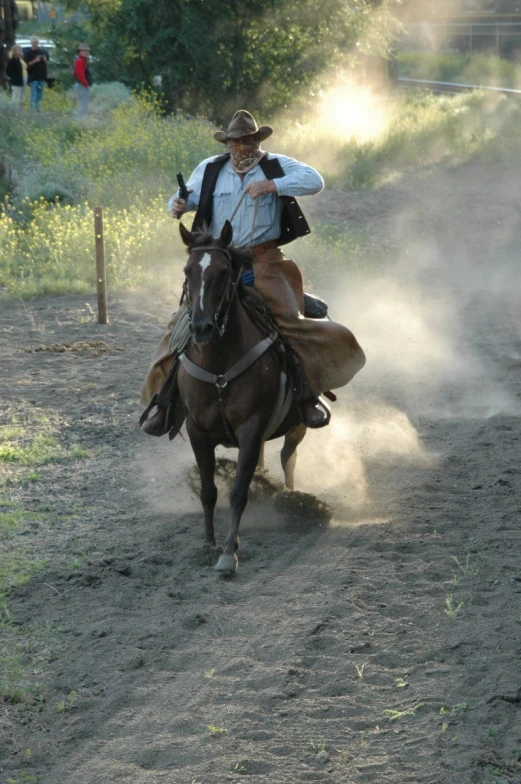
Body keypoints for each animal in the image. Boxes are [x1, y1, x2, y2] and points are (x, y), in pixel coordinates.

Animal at [179, 217, 306, 572]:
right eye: (188, 271)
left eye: (224, 272)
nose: (202, 327)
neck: (220, 363)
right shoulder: (197, 430)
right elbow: (209, 491)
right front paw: (208, 543)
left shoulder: (251, 428)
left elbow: (238, 491)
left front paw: (228, 552)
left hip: (297, 425)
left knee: (288, 458)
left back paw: (290, 496)